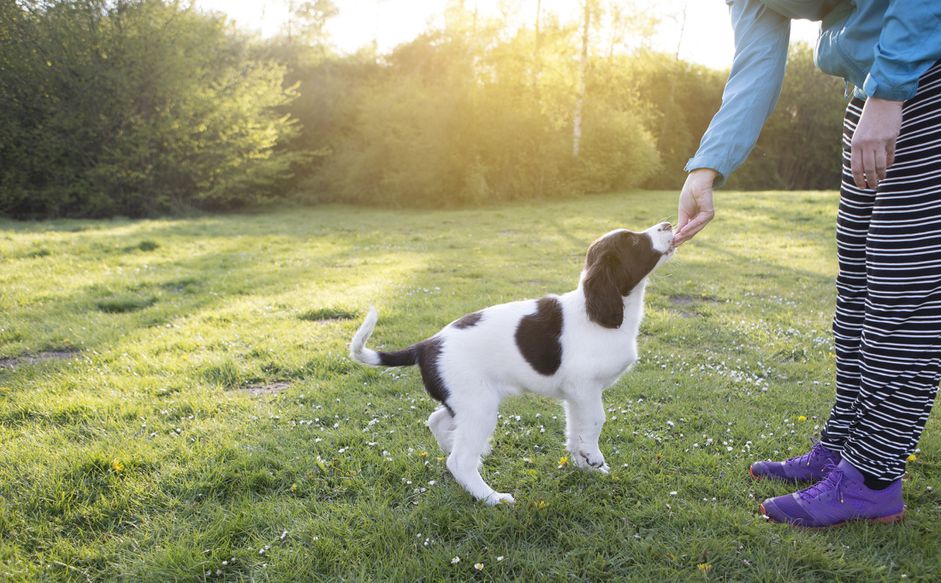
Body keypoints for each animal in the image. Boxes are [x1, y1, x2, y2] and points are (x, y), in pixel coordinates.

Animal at [348, 224, 672, 506]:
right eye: (634, 242)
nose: (668, 225)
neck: (596, 313)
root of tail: (426, 345)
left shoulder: (575, 395)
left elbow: (575, 429)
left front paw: (584, 464)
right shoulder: (584, 388)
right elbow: (595, 422)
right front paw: (592, 457)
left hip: (464, 401)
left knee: (437, 421)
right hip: (479, 406)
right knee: (459, 460)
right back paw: (492, 498)